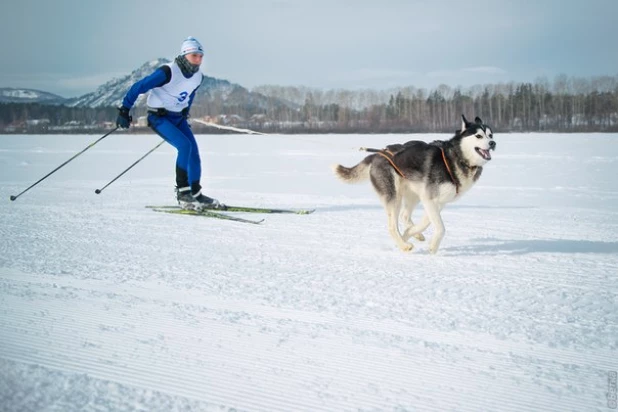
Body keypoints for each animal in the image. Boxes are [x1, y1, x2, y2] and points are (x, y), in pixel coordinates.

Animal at [332, 114, 496, 253]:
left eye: (490, 135)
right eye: (478, 135)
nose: (493, 143)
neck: (456, 158)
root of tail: (378, 154)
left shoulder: (437, 201)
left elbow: (426, 222)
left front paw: (410, 233)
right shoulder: (429, 198)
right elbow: (440, 228)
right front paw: (432, 247)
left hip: (413, 194)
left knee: (404, 215)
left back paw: (412, 236)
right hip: (394, 196)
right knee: (392, 226)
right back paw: (404, 246)